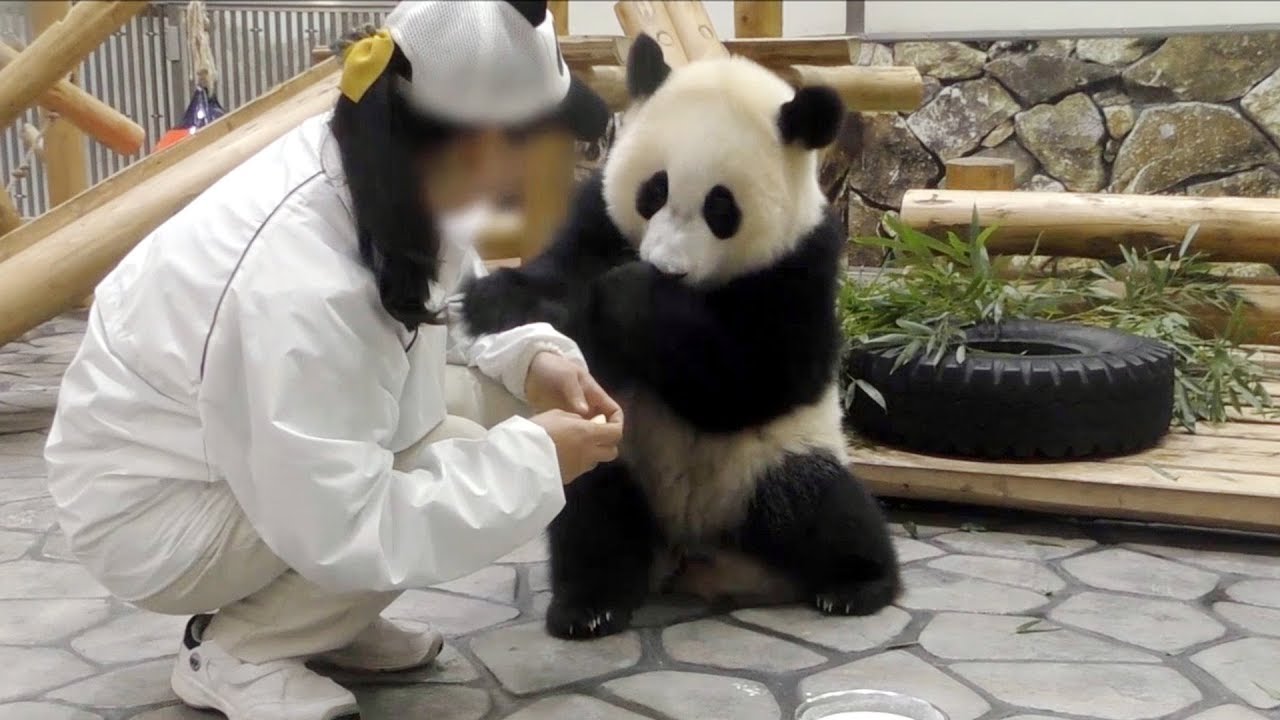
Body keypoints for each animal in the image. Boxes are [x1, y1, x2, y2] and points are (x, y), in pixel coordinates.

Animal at [463, 34, 901, 640]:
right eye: (654, 191)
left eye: (722, 208)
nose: (667, 268)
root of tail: (692, 551)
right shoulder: (598, 215)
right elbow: (557, 279)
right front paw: (492, 302)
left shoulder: (802, 264)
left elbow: (759, 380)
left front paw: (628, 295)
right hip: (622, 456)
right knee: (593, 512)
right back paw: (589, 606)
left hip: (770, 460)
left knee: (822, 506)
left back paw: (857, 584)